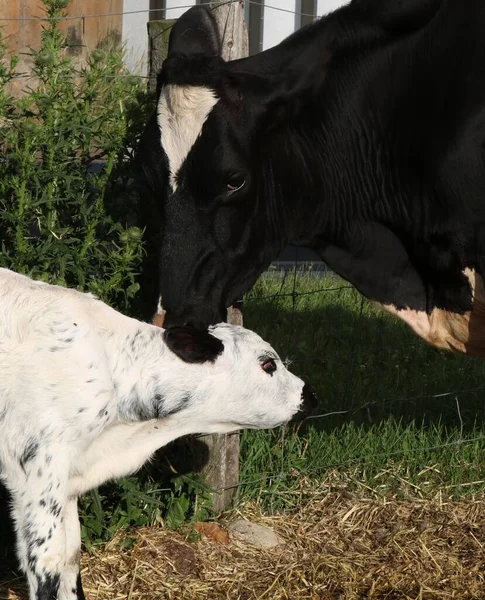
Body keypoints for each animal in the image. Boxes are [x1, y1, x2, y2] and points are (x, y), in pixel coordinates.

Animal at [0, 268, 314, 600]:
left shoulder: (69, 480)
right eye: (268, 364)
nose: (311, 395)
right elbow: (47, 566)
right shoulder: (38, 475)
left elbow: (71, 556)